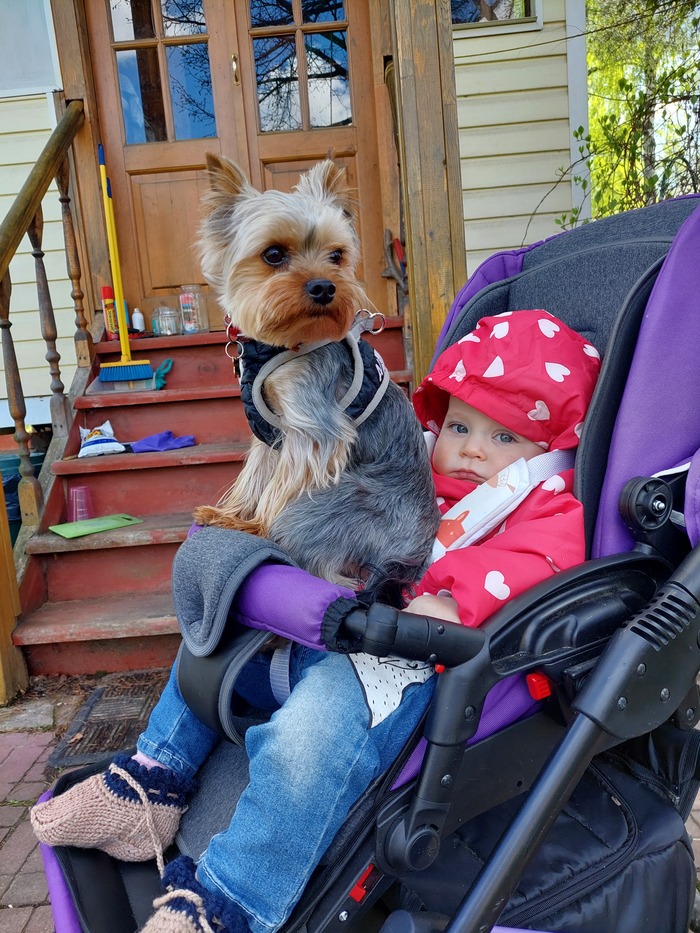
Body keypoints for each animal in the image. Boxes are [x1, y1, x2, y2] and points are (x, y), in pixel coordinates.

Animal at [193, 154, 438, 604]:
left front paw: (252, 527)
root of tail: (407, 562)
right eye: (273, 254)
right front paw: (230, 514)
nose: (324, 287)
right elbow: (258, 477)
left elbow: (282, 486)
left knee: (327, 571)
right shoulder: (270, 435)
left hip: (331, 506)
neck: (280, 344)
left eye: (336, 255)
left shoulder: (312, 426)